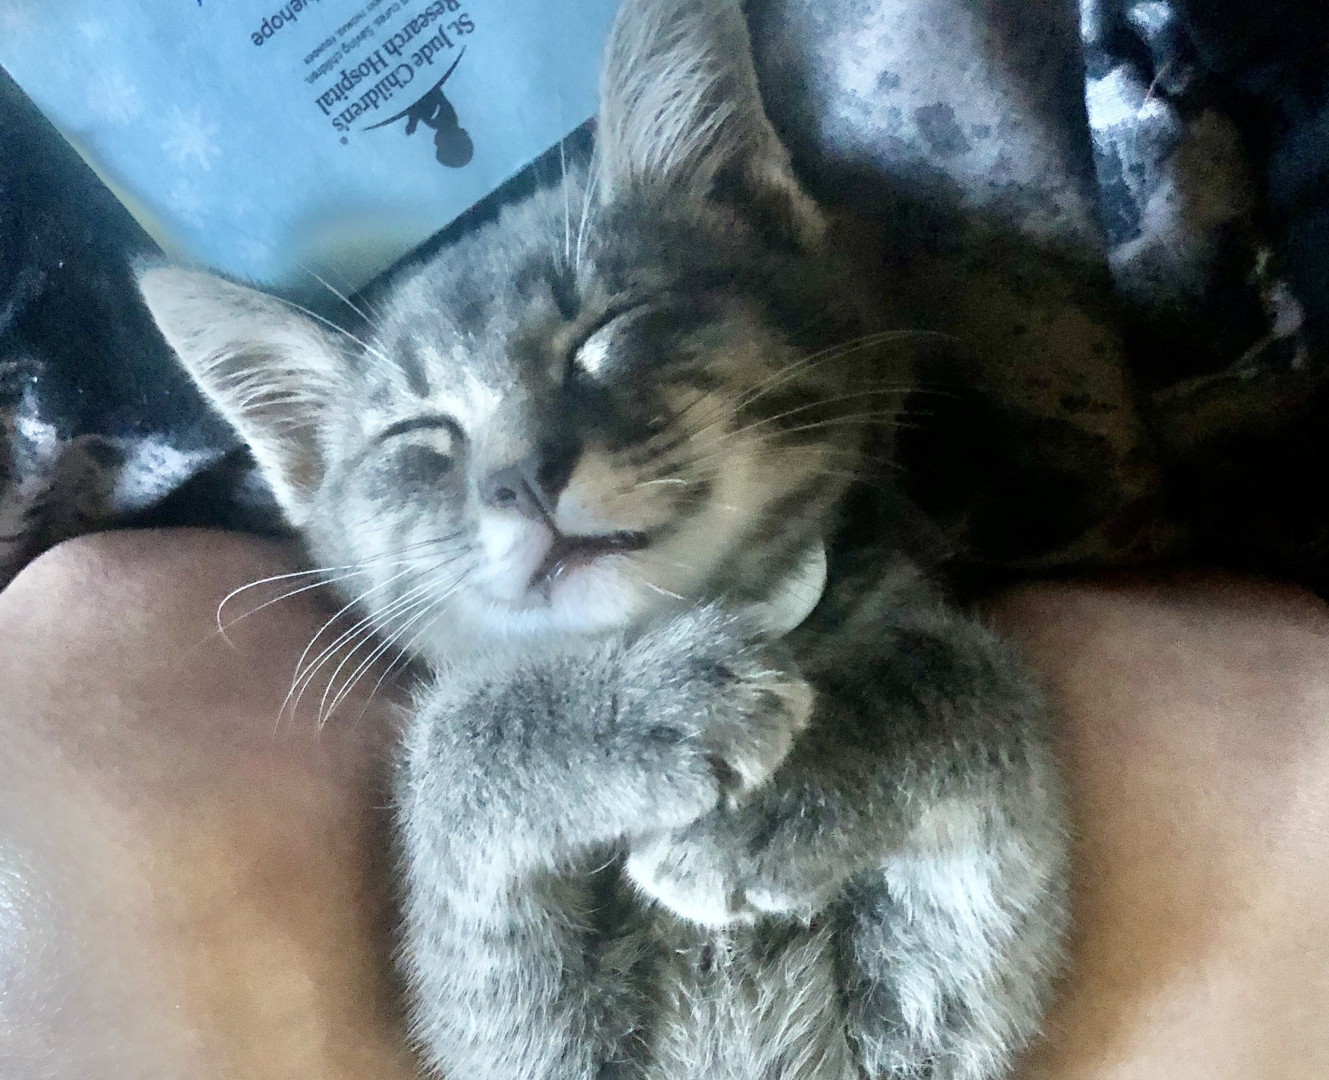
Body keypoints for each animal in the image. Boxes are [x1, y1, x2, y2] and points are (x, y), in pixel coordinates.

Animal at [136, 0, 1070, 1076]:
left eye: (605, 331)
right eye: (420, 435)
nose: (521, 477)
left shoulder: (963, 981)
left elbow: (968, 685)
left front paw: (766, 809)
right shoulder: (501, 1024)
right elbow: (452, 749)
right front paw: (640, 711)